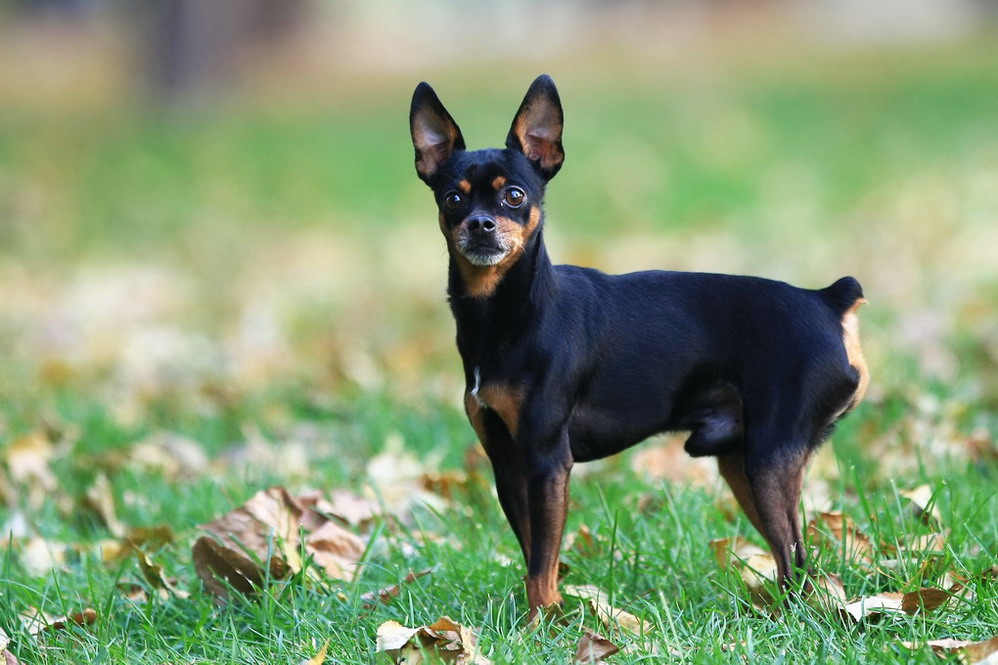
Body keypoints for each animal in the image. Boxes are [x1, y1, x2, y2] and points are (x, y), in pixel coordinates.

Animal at [410, 74, 872, 616]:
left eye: (515, 196)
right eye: (452, 200)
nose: (480, 224)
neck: (506, 315)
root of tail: (828, 299)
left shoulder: (546, 460)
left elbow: (542, 559)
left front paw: (544, 620)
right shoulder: (508, 464)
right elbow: (533, 554)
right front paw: (543, 614)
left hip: (770, 458)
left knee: (797, 558)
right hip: (742, 462)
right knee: (790, 559)